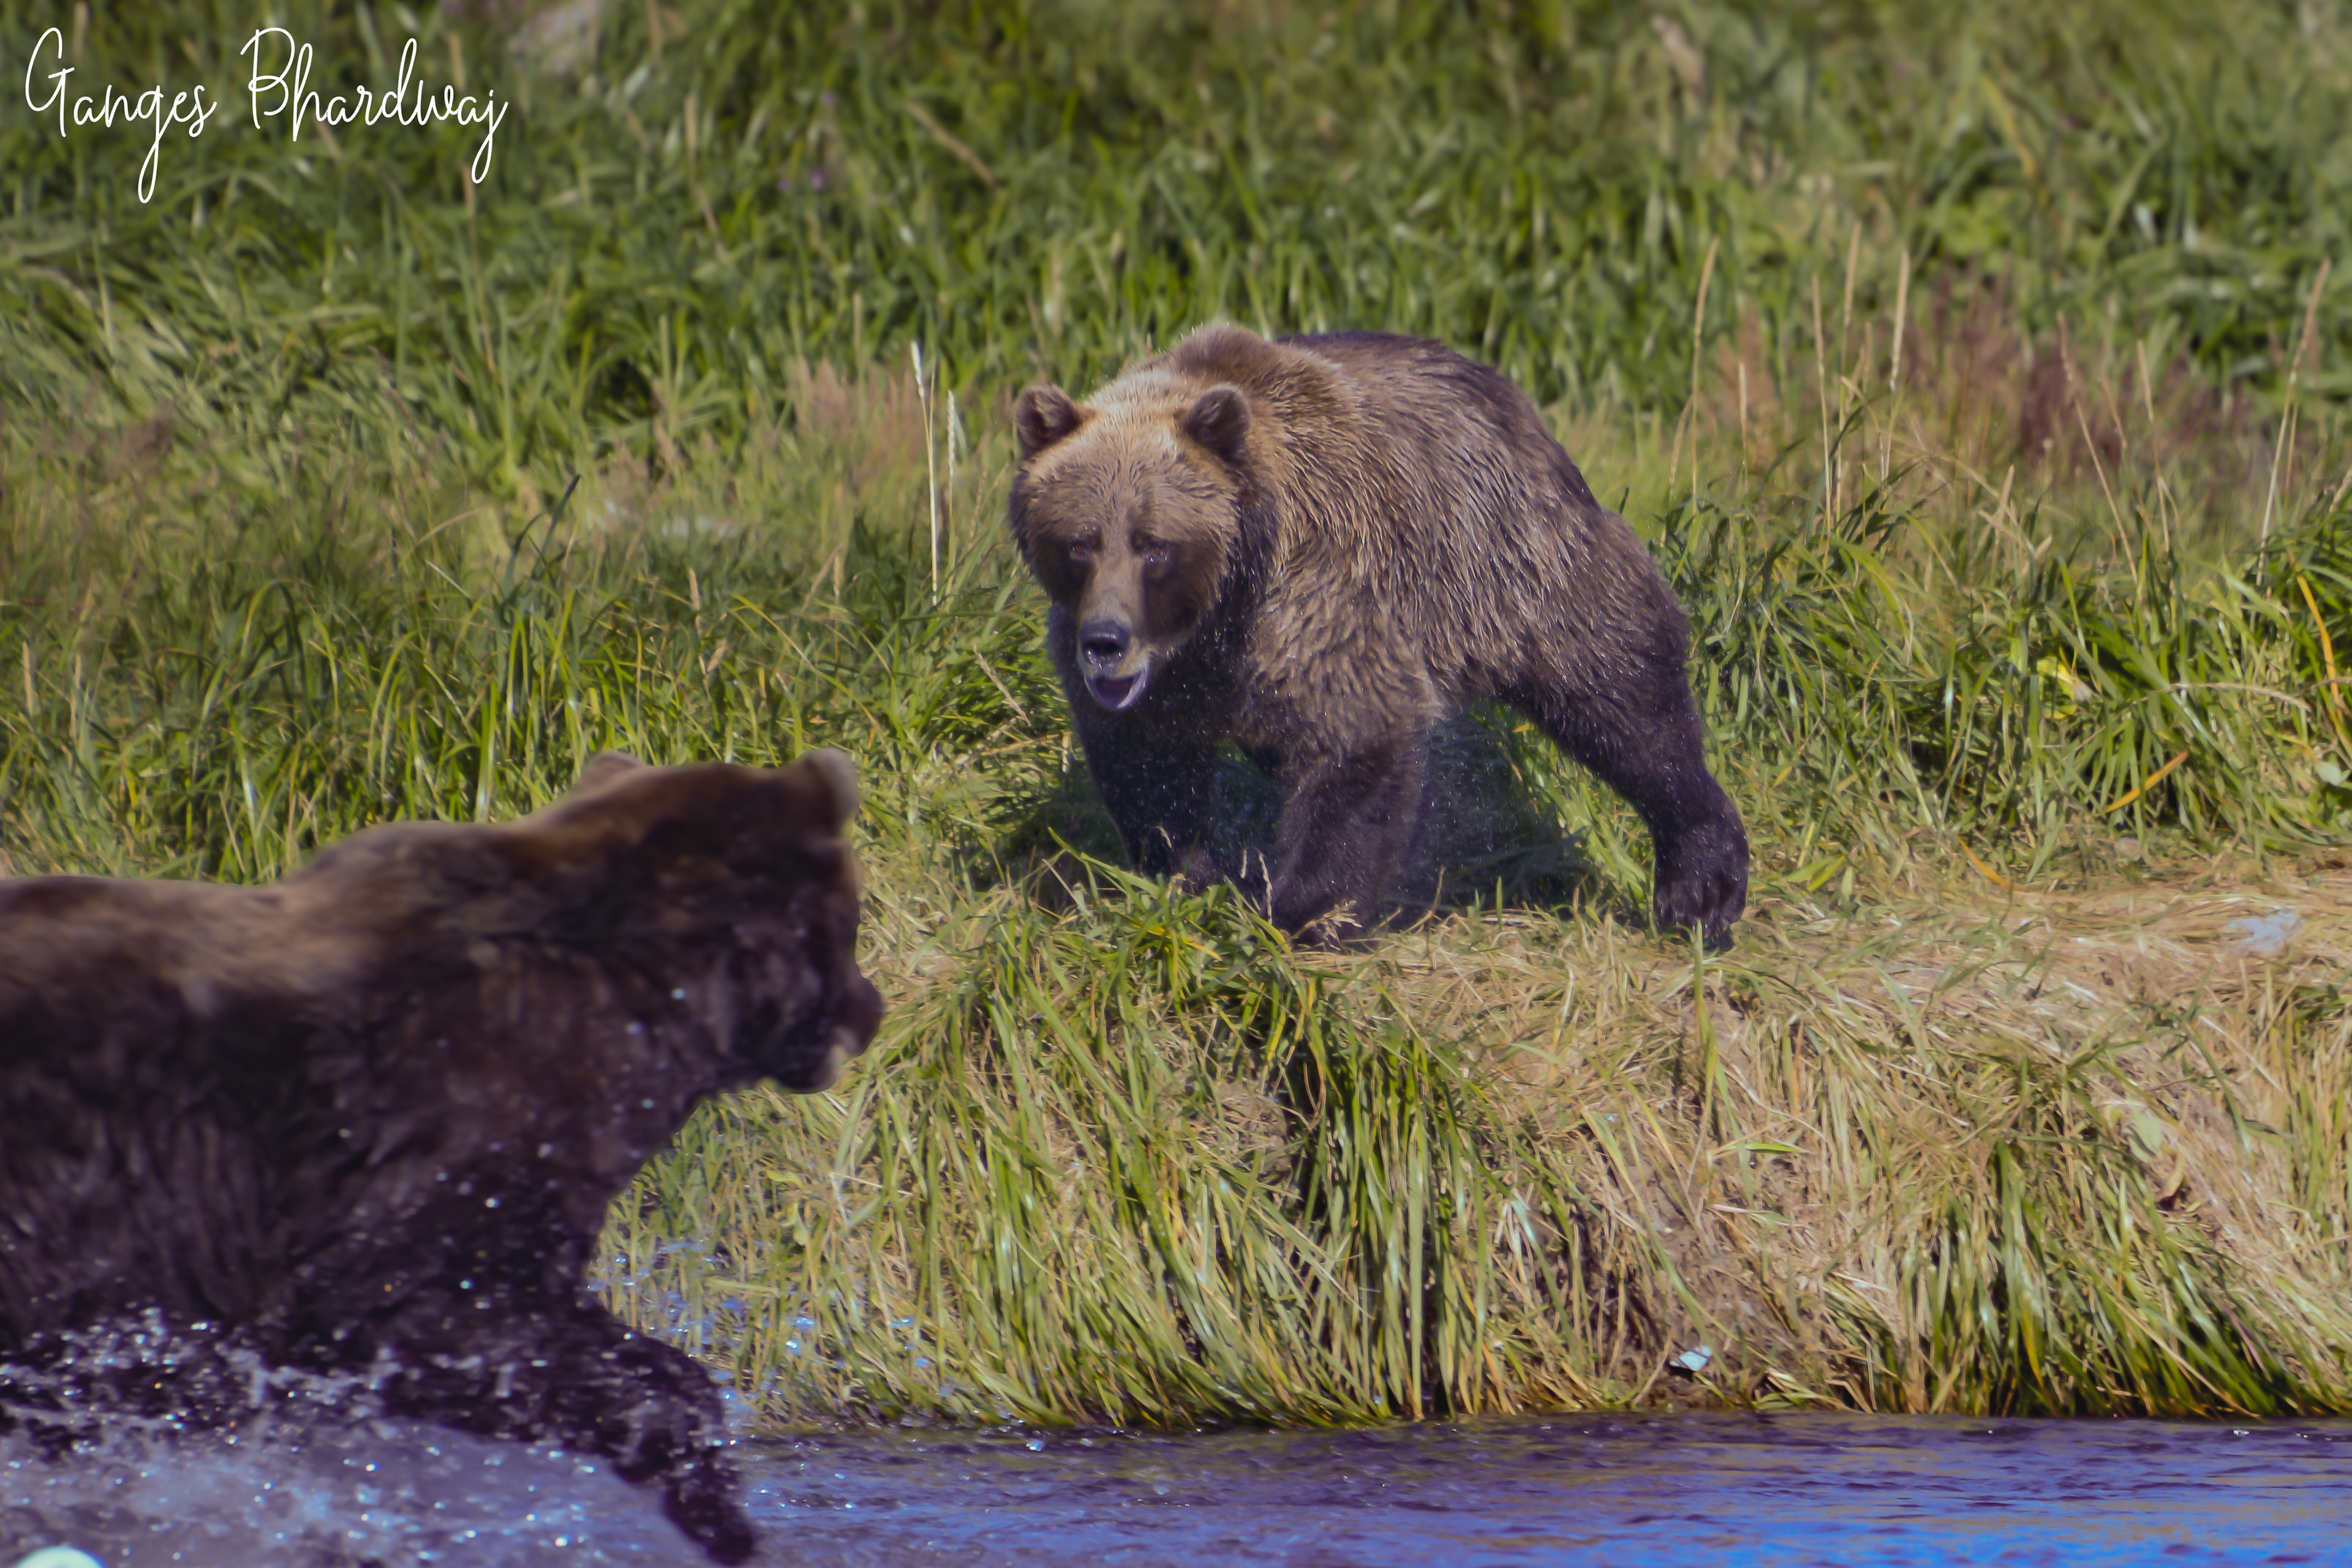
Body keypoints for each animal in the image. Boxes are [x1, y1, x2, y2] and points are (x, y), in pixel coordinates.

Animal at [0, 749, 884, 1564]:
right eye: (851, 924)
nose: (871, 1008)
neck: (642, 1019)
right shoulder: (423, 1152)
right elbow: (439, 1312)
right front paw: (715, 1503)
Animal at [1008, 325, 1749, 946]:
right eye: (1079, 543)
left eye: (1154, 545)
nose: (1106, 640)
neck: (1217, 614)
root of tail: (1516, 401)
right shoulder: (1161, 677)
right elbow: (1149, 766)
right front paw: (1193, 875)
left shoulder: (1317, 594)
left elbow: (1357, 738)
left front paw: (1299, 907)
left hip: (1521, 567)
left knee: (1623, 696)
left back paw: (1701, 884)